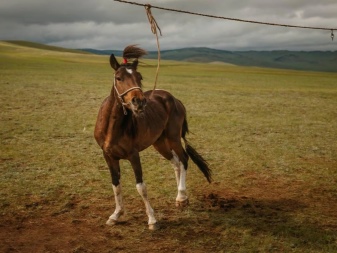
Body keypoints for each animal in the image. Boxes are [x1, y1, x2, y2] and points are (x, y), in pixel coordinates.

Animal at [93, 45, 211, 229]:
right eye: (119, 78)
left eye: (139, 77)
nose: (139, 102)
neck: (112, 127)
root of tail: (174, 99)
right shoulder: (108, 156)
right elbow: (116, 185)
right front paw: (116, 214)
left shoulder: (133, 155)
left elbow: (141, 187)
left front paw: (152, 219)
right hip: (159, 142)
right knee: (176, 162)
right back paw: (181, 197)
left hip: (173, 137)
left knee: (184, 159)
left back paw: (181, 196)